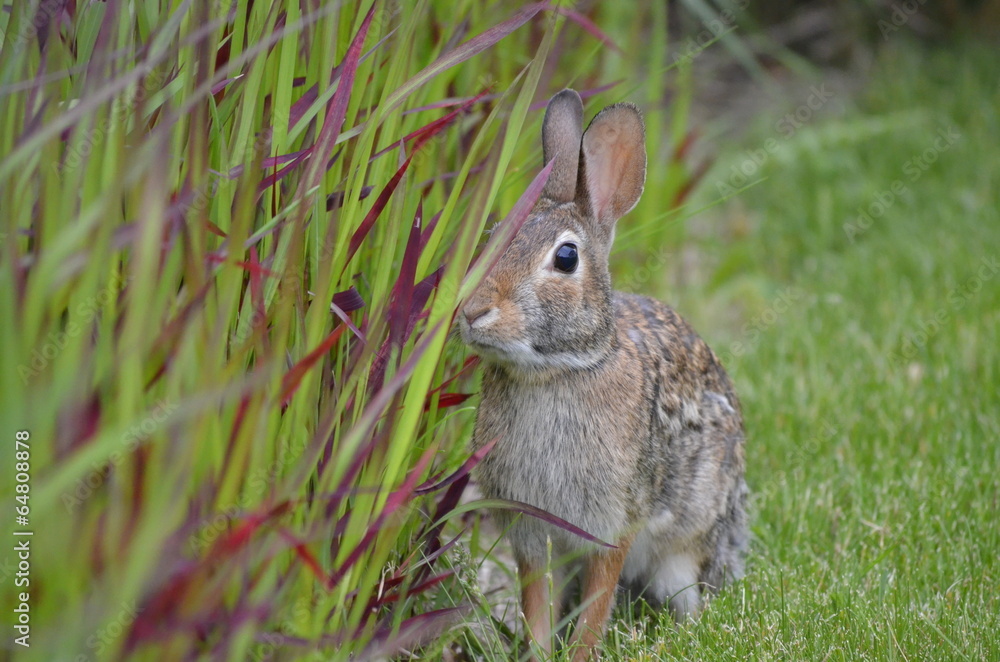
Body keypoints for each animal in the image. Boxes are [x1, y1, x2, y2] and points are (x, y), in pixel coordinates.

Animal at [458, 89, 748, 661]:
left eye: (567, 257)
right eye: (492, 235)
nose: (472, 310)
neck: (556, 371)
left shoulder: (612, 523)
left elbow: (597, 601)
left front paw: (581, 653)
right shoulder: (532, 531)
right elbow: (537, 603)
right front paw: (538, 653)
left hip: (688, 544)